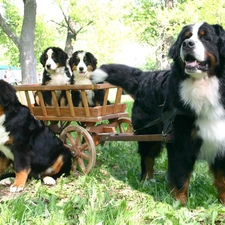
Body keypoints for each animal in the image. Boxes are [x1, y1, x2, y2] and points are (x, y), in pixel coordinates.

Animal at [92, 22, 225, 206]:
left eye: (206, 38)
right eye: (185, 38)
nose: (187, 44)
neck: (204, 88)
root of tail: (144, 77)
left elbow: (222, 179)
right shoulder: (180, 141)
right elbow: (180, 176)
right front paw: (179, 204)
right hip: (149, 133)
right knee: (147, 157)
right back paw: (146, 181)